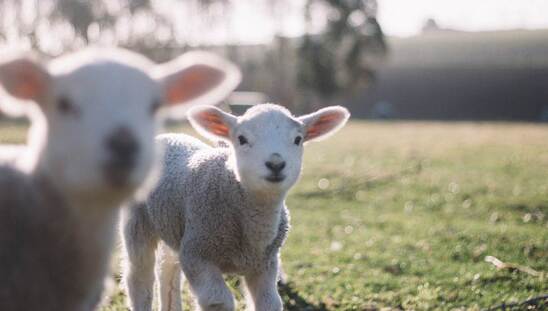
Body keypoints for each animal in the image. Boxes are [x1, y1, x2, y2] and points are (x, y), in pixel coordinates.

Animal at [122, 103, 348, 310]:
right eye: (242, 139)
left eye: (298, 140)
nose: (275, 164)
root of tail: (167, 136)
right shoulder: (196, 254)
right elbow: (218, 301)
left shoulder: (265, 264)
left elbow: (270, 303)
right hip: (138, 223)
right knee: (139, 278)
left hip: (174, 225)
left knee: (167, 271)